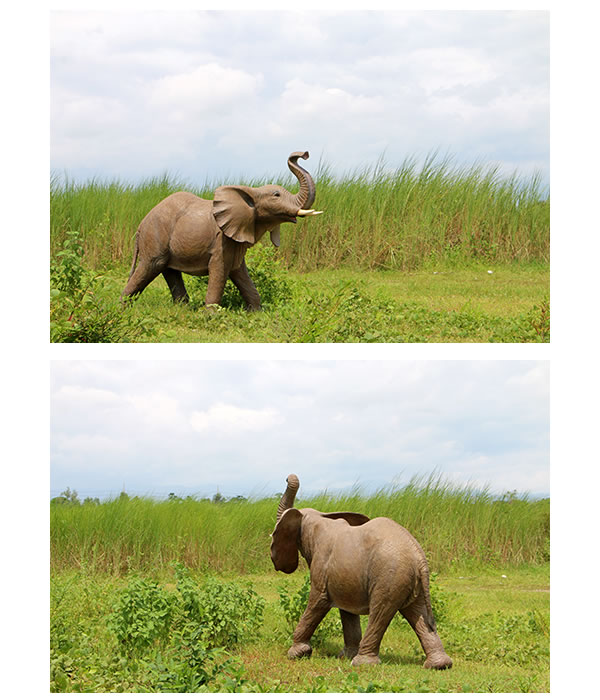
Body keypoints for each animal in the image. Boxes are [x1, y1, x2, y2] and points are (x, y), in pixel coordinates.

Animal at [121, 151, 322, 310]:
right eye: (276, 195)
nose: (303, 154)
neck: (251, 192)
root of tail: (140, 226)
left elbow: (240, 273)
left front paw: (256, 312)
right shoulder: (221, 240)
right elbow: (220, 270)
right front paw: (211, 316)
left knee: (169, 270)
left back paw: (182, 310)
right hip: (155, 236)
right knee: (151, 266)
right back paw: (122, 309)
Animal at [270, 474, 453, 670]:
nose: (287, 477)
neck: (317, 517)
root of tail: (419, 557)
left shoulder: (322, 566)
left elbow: (318, 601)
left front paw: (296, 654)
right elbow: (346, 609)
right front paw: (344, 655)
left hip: (390, 576)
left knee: (380, 612)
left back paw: (362, 663)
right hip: (410, 581)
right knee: (418, 614)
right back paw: (439, 665)